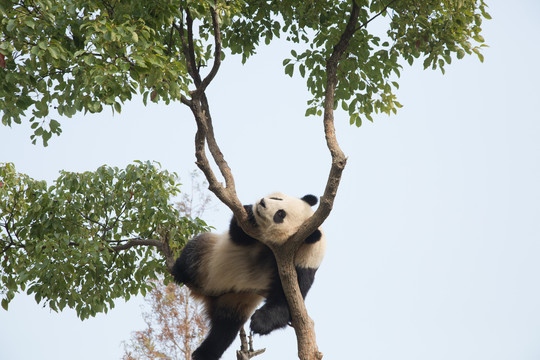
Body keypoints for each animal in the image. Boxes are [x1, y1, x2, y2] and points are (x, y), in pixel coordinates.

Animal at [172, 193, 324, 360]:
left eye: (280, 214)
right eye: (278, 199)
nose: (262, 202)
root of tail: (205, 294)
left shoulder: (299, 268)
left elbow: (286, 305)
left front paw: (259, 323)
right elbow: (238, 235)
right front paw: (250, 211)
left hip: (234, 300)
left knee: (225, 328)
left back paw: (204, 353)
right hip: (207, 256)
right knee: (193, 252)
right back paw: (180, 271)